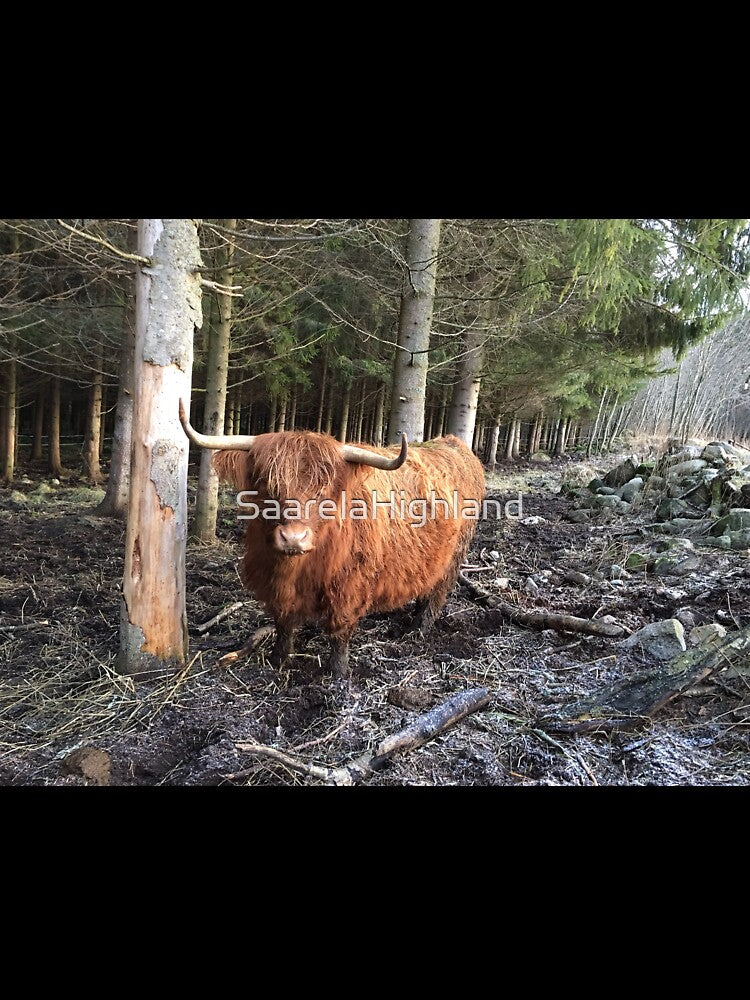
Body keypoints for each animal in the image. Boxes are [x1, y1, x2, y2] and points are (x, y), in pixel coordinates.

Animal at [179, 401, 485, 680]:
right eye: (267, 483)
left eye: (323, 490)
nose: (293, 538)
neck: (296, 568)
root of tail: (454, 445)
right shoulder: (274, 584)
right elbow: (283, 622)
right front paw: (278, 659)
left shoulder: (350, 584)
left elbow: (340, 631)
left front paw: (337, 674)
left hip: (455, 555)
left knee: (437, 593)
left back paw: (417, 630)